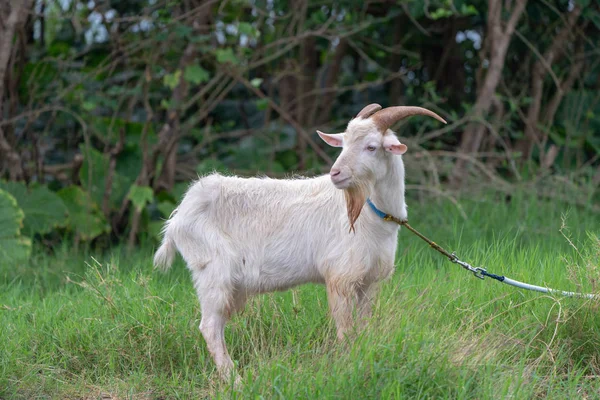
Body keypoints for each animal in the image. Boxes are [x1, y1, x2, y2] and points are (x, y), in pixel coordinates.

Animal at [155, 104, 446, 382]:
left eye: (371, 146)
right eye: (344, 143)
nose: (335, 173)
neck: (372, 216)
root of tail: (180, 215)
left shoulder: (370, 282)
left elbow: (363, 328)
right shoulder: (340, 278)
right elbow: (345, 330)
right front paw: (347, 366)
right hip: (213, 272)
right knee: (209, 327)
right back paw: (234, 381)